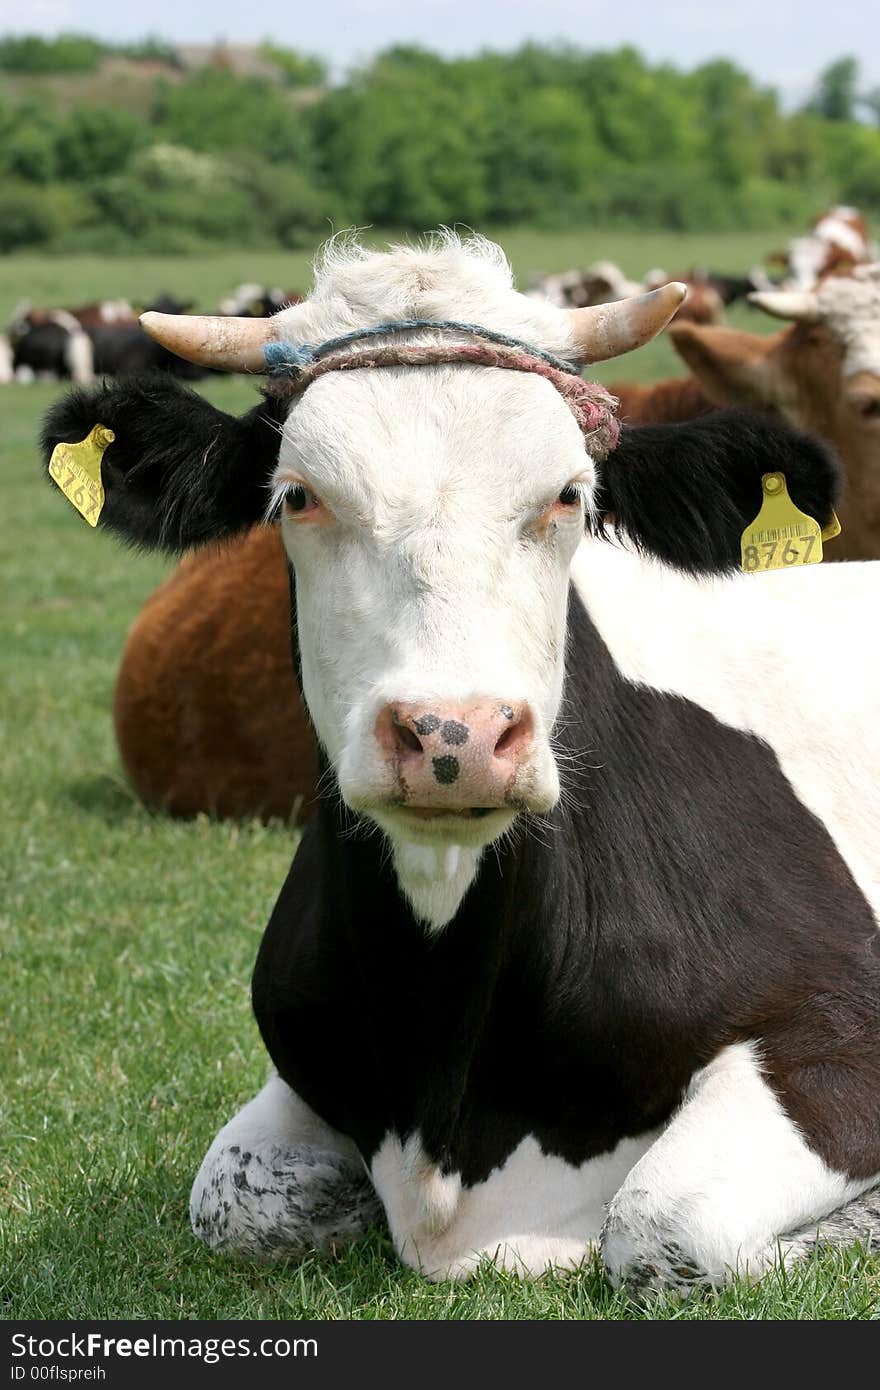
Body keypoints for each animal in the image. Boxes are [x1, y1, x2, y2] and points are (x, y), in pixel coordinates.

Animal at [41, 236, 878, 1289]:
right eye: (297, 496)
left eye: (570, 496)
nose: (456, 735)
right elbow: (234, 1200)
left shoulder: (841, 1022)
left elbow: (663, 1224)